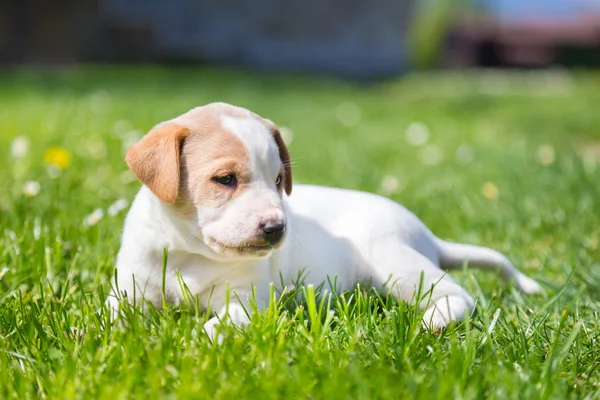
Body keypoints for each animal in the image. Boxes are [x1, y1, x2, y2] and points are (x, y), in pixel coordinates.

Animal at [109, 101, 544, 336]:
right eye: (226, 179)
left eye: (279, 180)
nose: (276, 228)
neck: (189, 254)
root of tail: (427, 235)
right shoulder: (129, 291)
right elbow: (110, 316)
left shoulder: (246, 301)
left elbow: (222, 323)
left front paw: (201, 339)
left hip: (395, 264)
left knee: (457, 293)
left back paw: (435, 321)